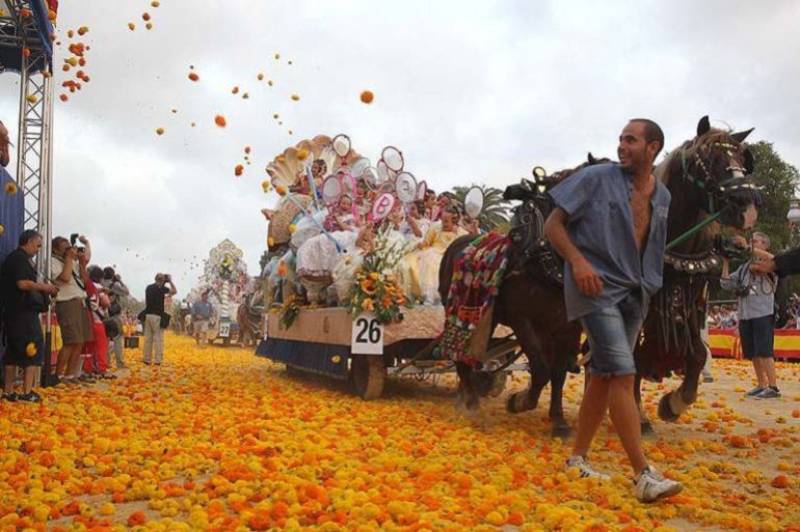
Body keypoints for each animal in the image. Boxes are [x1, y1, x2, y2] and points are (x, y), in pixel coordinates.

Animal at [440, 118, 760, 438]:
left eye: (742, 158)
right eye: (709, 158)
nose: (745, 203)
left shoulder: (678, 309)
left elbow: (695, 355)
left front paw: (670, 404)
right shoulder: (523, 319)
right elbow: (546, 369)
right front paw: (521, 401)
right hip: (469, 312)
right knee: (461, 353)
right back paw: (467, 401)